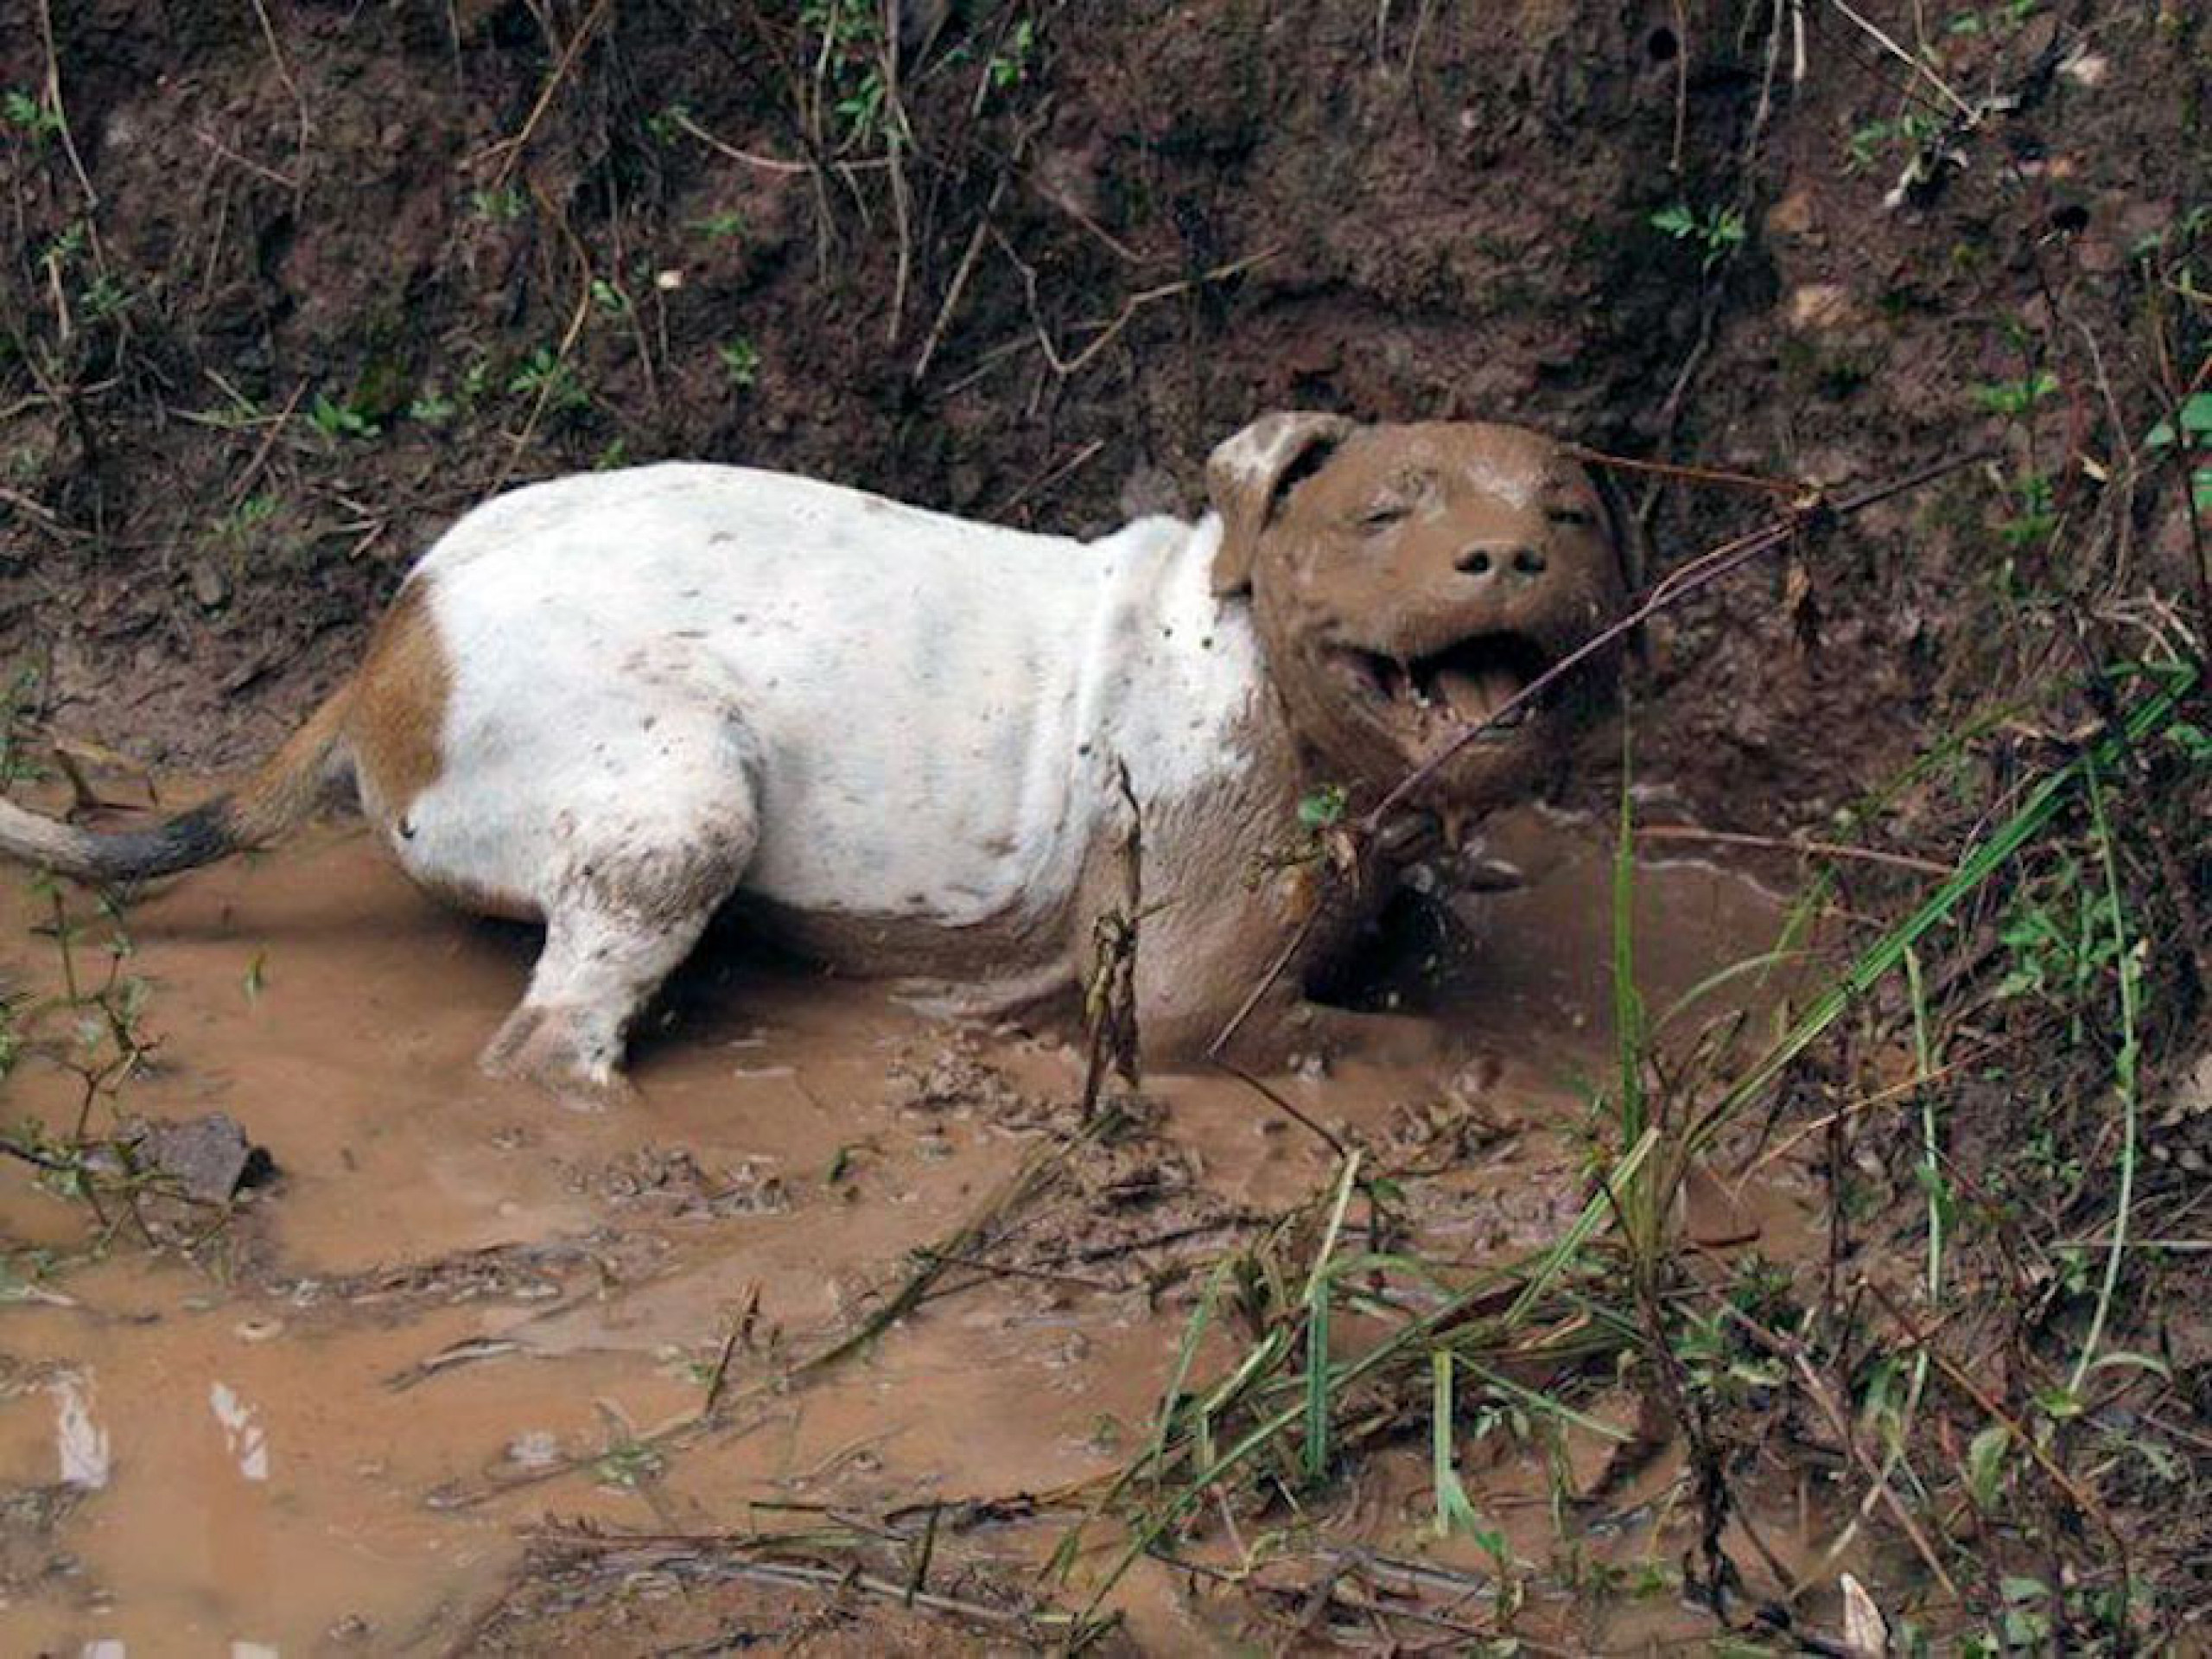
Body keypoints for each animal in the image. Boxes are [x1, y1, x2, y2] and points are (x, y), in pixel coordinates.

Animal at [0, 417, 1637, 1106]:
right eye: (1385, 513)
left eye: (1575, 516)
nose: (1507, 556)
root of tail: (391, 646)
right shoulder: (1189, 1003)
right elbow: (1348, 1033)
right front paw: (1488, 1070)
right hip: (682, 806)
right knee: (550, 1039)